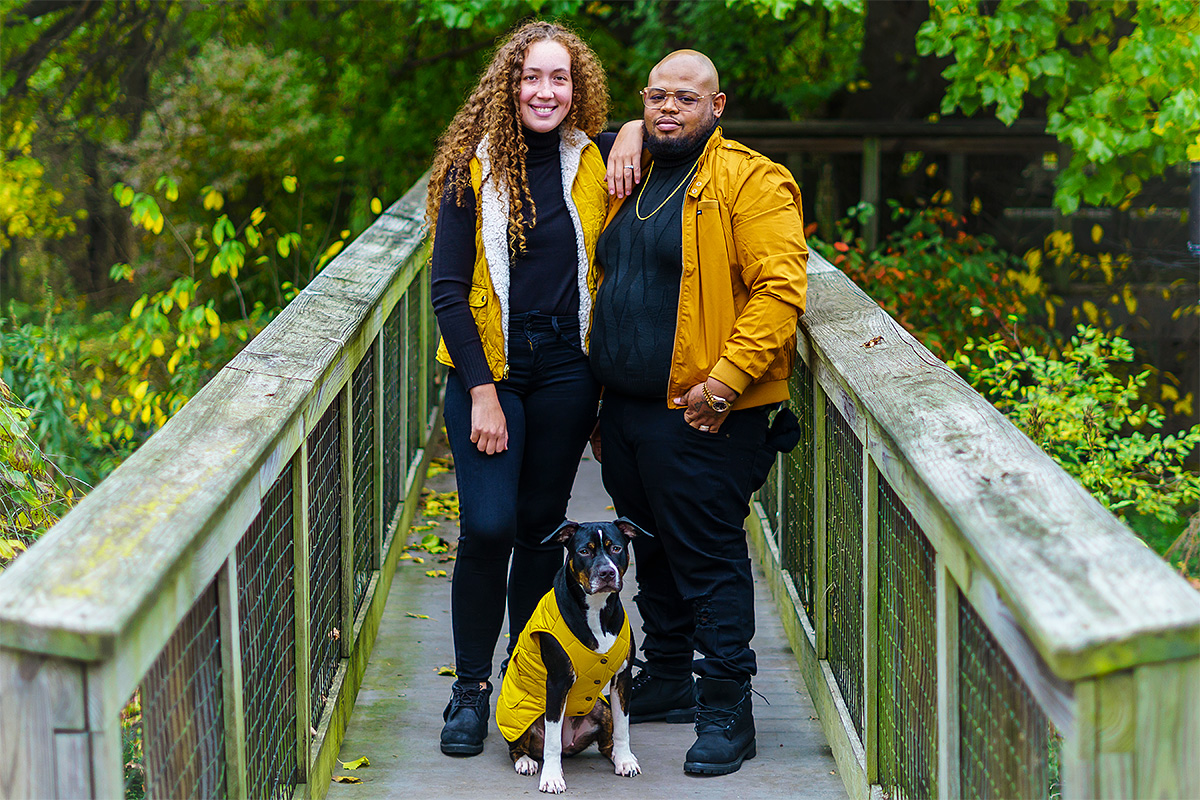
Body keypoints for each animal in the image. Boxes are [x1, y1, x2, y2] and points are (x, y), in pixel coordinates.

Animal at [494, 520, 648, 796]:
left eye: (616, 548)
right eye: (584, 551)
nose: (607, 573)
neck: (596, 609)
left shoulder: (623, 679)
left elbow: (623, 726)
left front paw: (625, 759)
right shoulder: (557, 683)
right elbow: (552, 742)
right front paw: (552, 778)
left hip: (601, 706)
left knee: (606, 742)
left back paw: (617, 756)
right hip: (519, 719)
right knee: (519, 746)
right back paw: (525, 761)